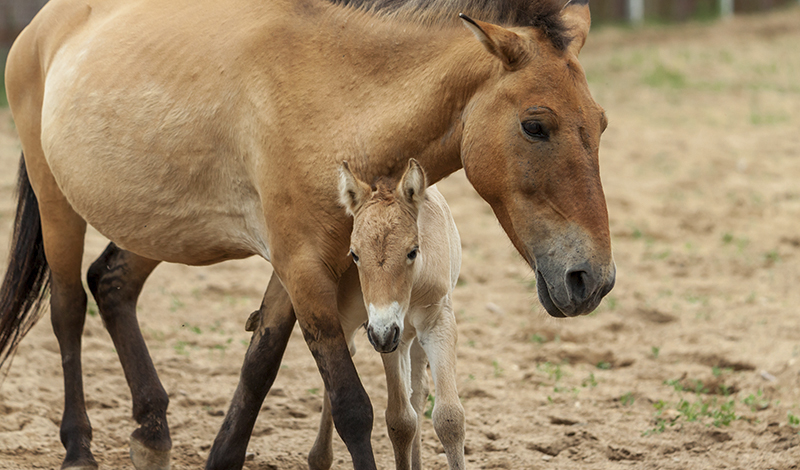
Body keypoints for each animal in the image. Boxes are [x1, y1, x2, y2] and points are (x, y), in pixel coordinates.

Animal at [310, 159, 466, 470]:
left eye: (413, 251)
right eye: (354, 254)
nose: (383, 333)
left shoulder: (437, 324)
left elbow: (449, 418)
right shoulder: (389, 337)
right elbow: (400, 421)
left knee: (419, 392)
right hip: (353, 324)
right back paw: (319, 457)